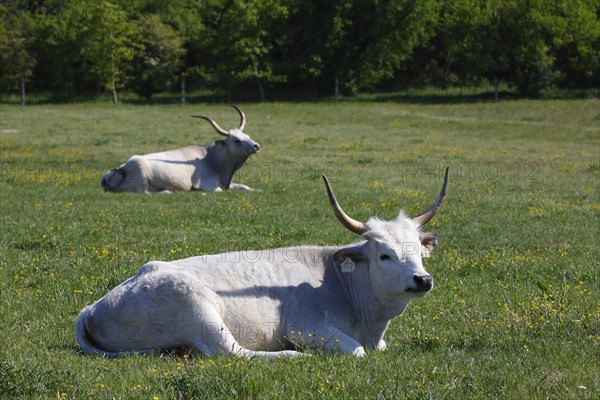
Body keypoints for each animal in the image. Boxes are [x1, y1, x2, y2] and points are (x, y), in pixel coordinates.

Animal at [76, 167, 450, 358]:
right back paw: (293, 356)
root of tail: (92, 307)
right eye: (384, 254)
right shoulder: (306, 326)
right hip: (197, 310)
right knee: (232, 352)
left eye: (418, 251)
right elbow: (357, 351)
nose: (422, 279)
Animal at [101, 106, 260, 194]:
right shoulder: (206, 185)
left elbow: (245, 187)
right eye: (236, 140)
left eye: (248, 136)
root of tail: (121, 169)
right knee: (146, 193)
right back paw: (168, 192)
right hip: (142, 182)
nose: (256, 146)